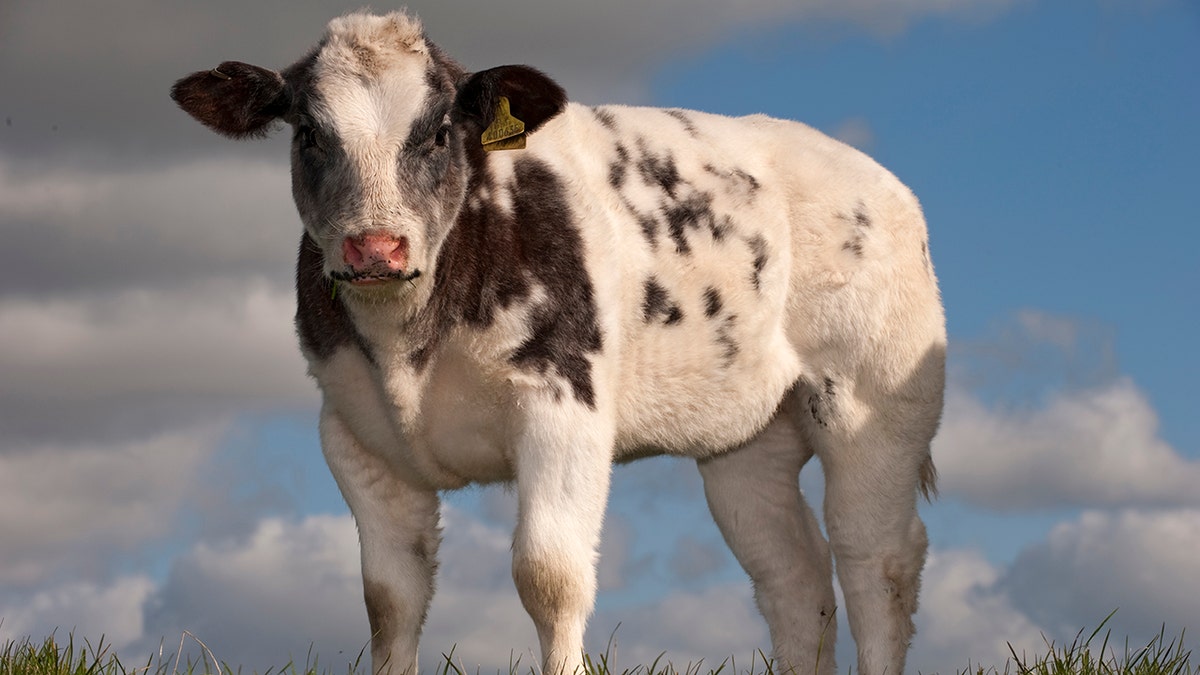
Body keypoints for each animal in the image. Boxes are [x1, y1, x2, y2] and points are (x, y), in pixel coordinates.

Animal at [174, 10, 945, 672]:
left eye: (439, 131)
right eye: (308, 132)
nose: (376, 247)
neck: (409, 346)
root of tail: (875, 178)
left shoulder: (564, 404)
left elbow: (550, 576)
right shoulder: (354, 435)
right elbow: (390, 601)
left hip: (871, 400)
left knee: (874, 557)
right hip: (746, 440)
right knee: (792, 572)